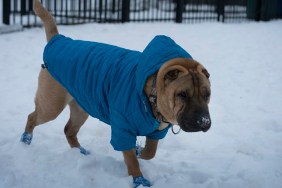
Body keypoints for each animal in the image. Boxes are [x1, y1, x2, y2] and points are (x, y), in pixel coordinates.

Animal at [21, 0, 212, 187]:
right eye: (182, 94)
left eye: (207, 94)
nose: (203, 122)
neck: (152, 95)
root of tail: (57, 40)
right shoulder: (122, 127)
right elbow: (131, 160)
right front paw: (139, 180)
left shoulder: (156, 131)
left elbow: (150, 151)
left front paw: (139, 151)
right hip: (52, 104)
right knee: (33, 117)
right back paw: (26, 140)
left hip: (81, 106)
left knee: (69, 129)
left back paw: (79, 152)